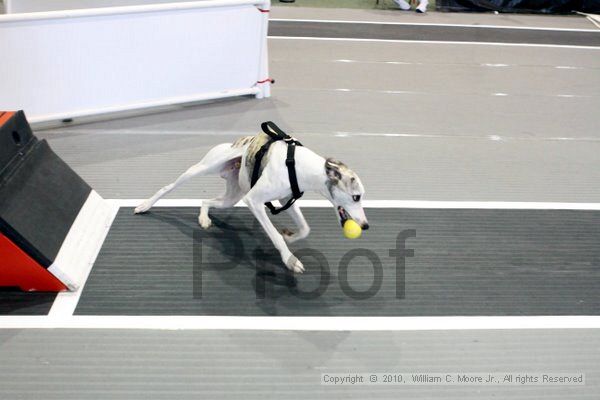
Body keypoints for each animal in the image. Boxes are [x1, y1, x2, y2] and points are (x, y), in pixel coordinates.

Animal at [134, 124, 368, 276]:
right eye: (356, 197)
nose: (365, 226)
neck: (297, 165)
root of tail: (236, 142)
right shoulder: (255, 202)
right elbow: (275, 236)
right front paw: (290, 259)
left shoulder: (286, 199)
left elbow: (305, 228)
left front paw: (291, 237)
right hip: (203, 169)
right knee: (168, 187)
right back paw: (144, 205)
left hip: (232, 196)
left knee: (205, 201)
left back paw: (204, 219)